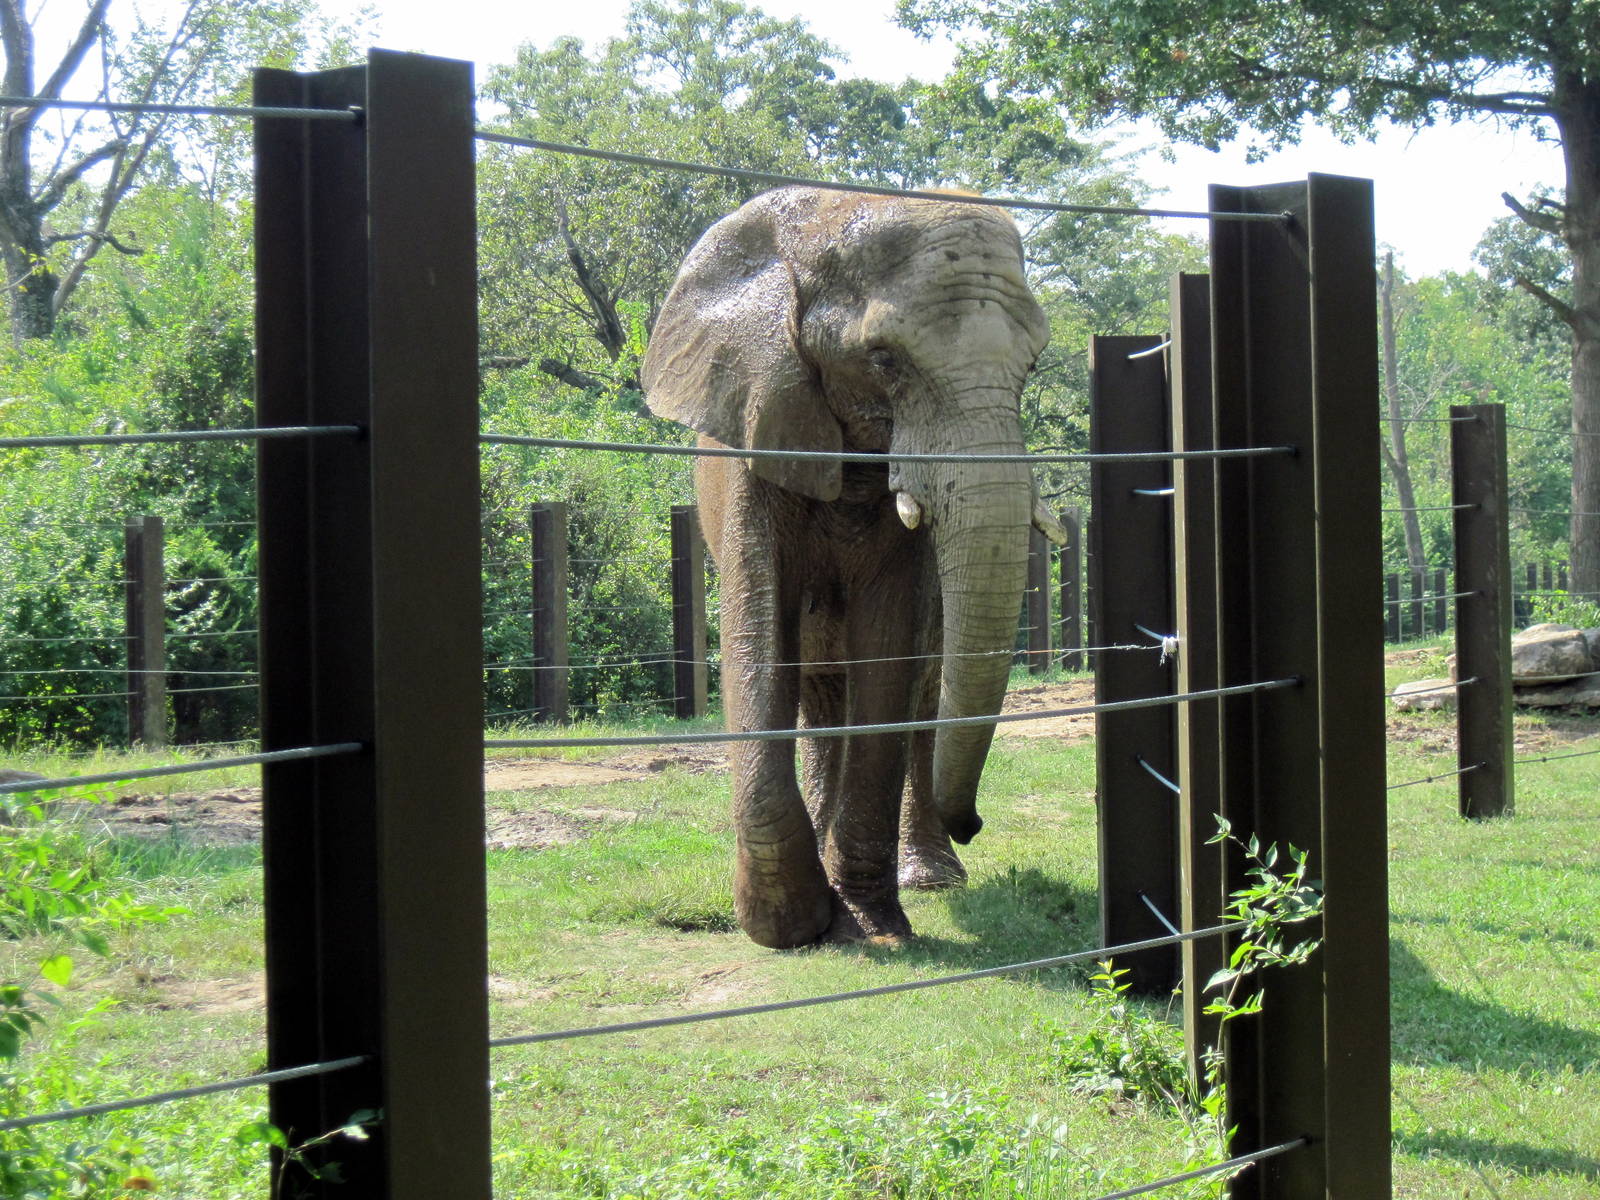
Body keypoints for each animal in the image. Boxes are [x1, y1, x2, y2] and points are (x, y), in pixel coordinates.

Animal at [641, 186, 1054, 949]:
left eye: (1033, 366)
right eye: (884, 359)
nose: (974, 822)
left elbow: (888, 647)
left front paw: (872, 923)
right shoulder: (757, 434)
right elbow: (758, 639)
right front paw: (791, 923)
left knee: (923, 691)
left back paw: (931, 878)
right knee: (821, 691)